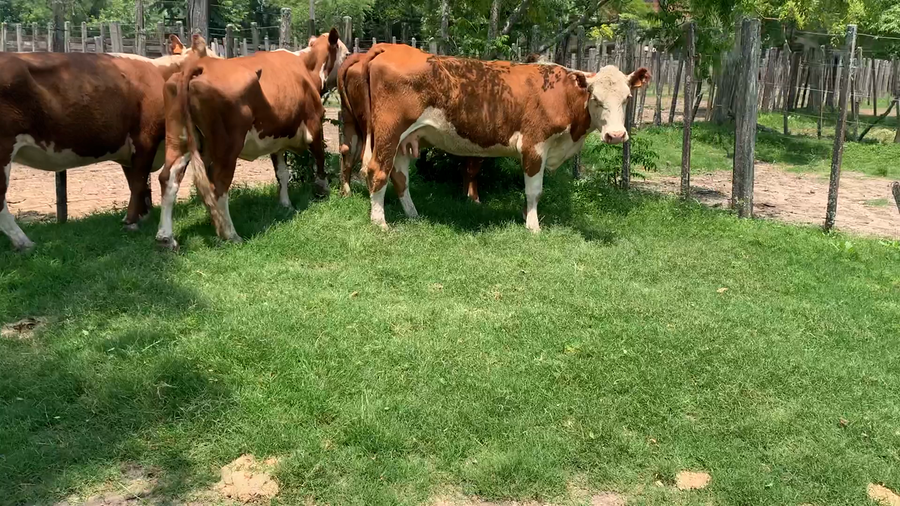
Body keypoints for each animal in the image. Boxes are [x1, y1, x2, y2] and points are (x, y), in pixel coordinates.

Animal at [0, 35, 207, 252]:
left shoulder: (129, 150)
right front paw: (131, 222)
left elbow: (134, 182)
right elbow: (139, 182)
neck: (161, 73)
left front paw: (141, 215)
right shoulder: (145, 139)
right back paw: (23, 241)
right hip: (4, 149)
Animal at [155, 29, 346, 249]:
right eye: (346, 54)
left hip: (179, 140)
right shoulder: (314, 125)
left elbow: (282, 173)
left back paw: (166, 237)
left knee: (168, 178)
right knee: (218, 184)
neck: (306, 66)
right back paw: (230, 234)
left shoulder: (276, 139)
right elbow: (320, 158)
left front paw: (285, 204)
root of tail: (200, 65)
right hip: (228, 147)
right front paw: (322, 189)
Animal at [358, 45, 650, 231]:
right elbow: (534, 190)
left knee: (400, 177)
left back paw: (413, 215)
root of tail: (390, 48)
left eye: (627, 98)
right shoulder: (534, 145)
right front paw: (533, 226)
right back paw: (380, 222)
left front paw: (526, 216)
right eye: (596, 98)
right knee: (377, 170)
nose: (616, 135)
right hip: (389, 132)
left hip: (405, 140)